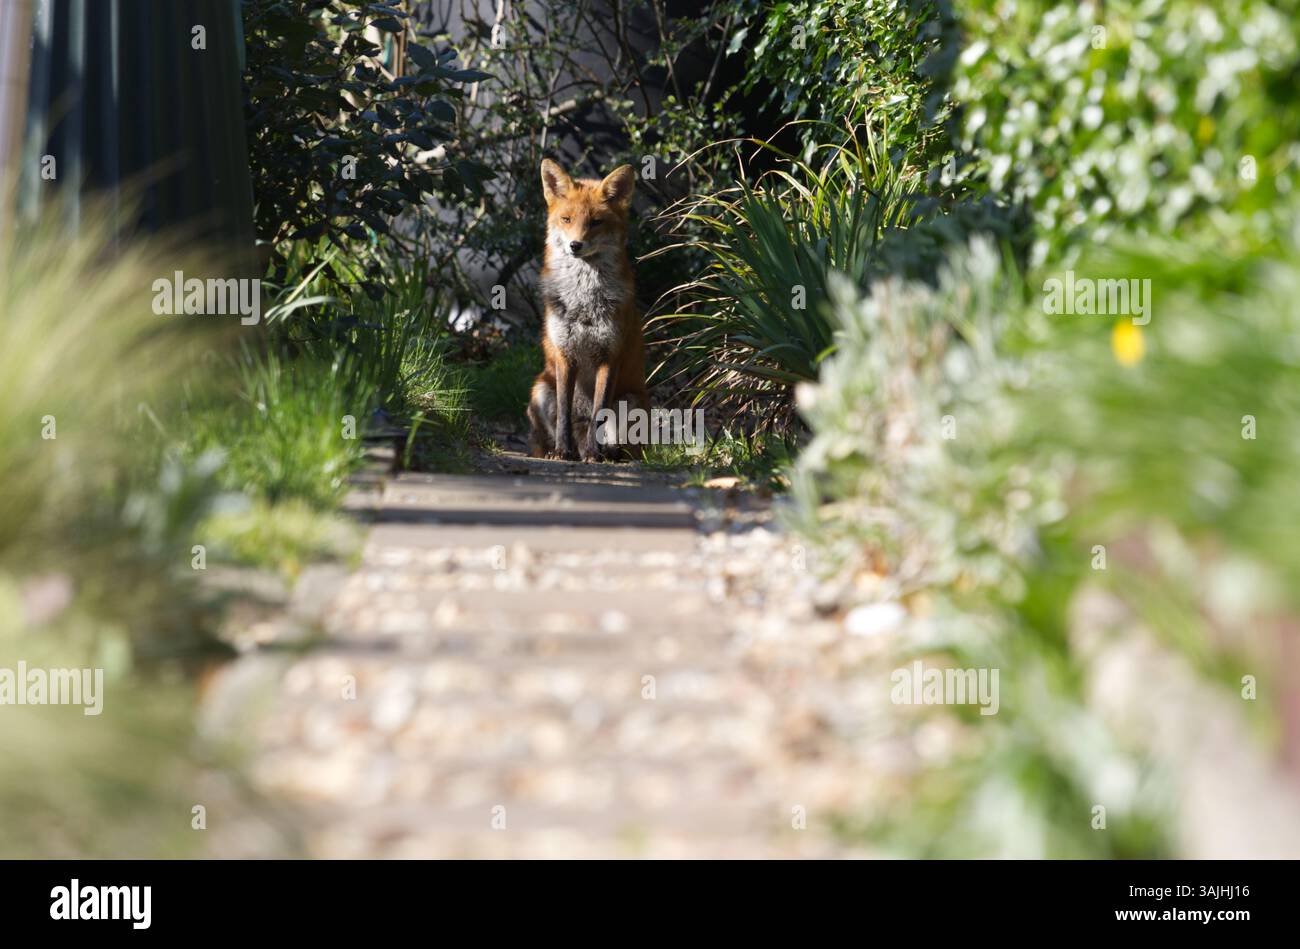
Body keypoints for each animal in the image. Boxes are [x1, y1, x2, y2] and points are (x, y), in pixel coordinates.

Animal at [527, 158, 649, 462]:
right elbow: (564, 413)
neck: (583, 302)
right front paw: (562, 451)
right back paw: (558, 450)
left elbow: (599, 412)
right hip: (541, 389)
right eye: (567, 219)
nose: (575, 245)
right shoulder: (565, 354)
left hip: (631, 402)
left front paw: (594, 453)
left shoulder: (610, 356)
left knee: (624, 445)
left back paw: (606, 454)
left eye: (596, 222)